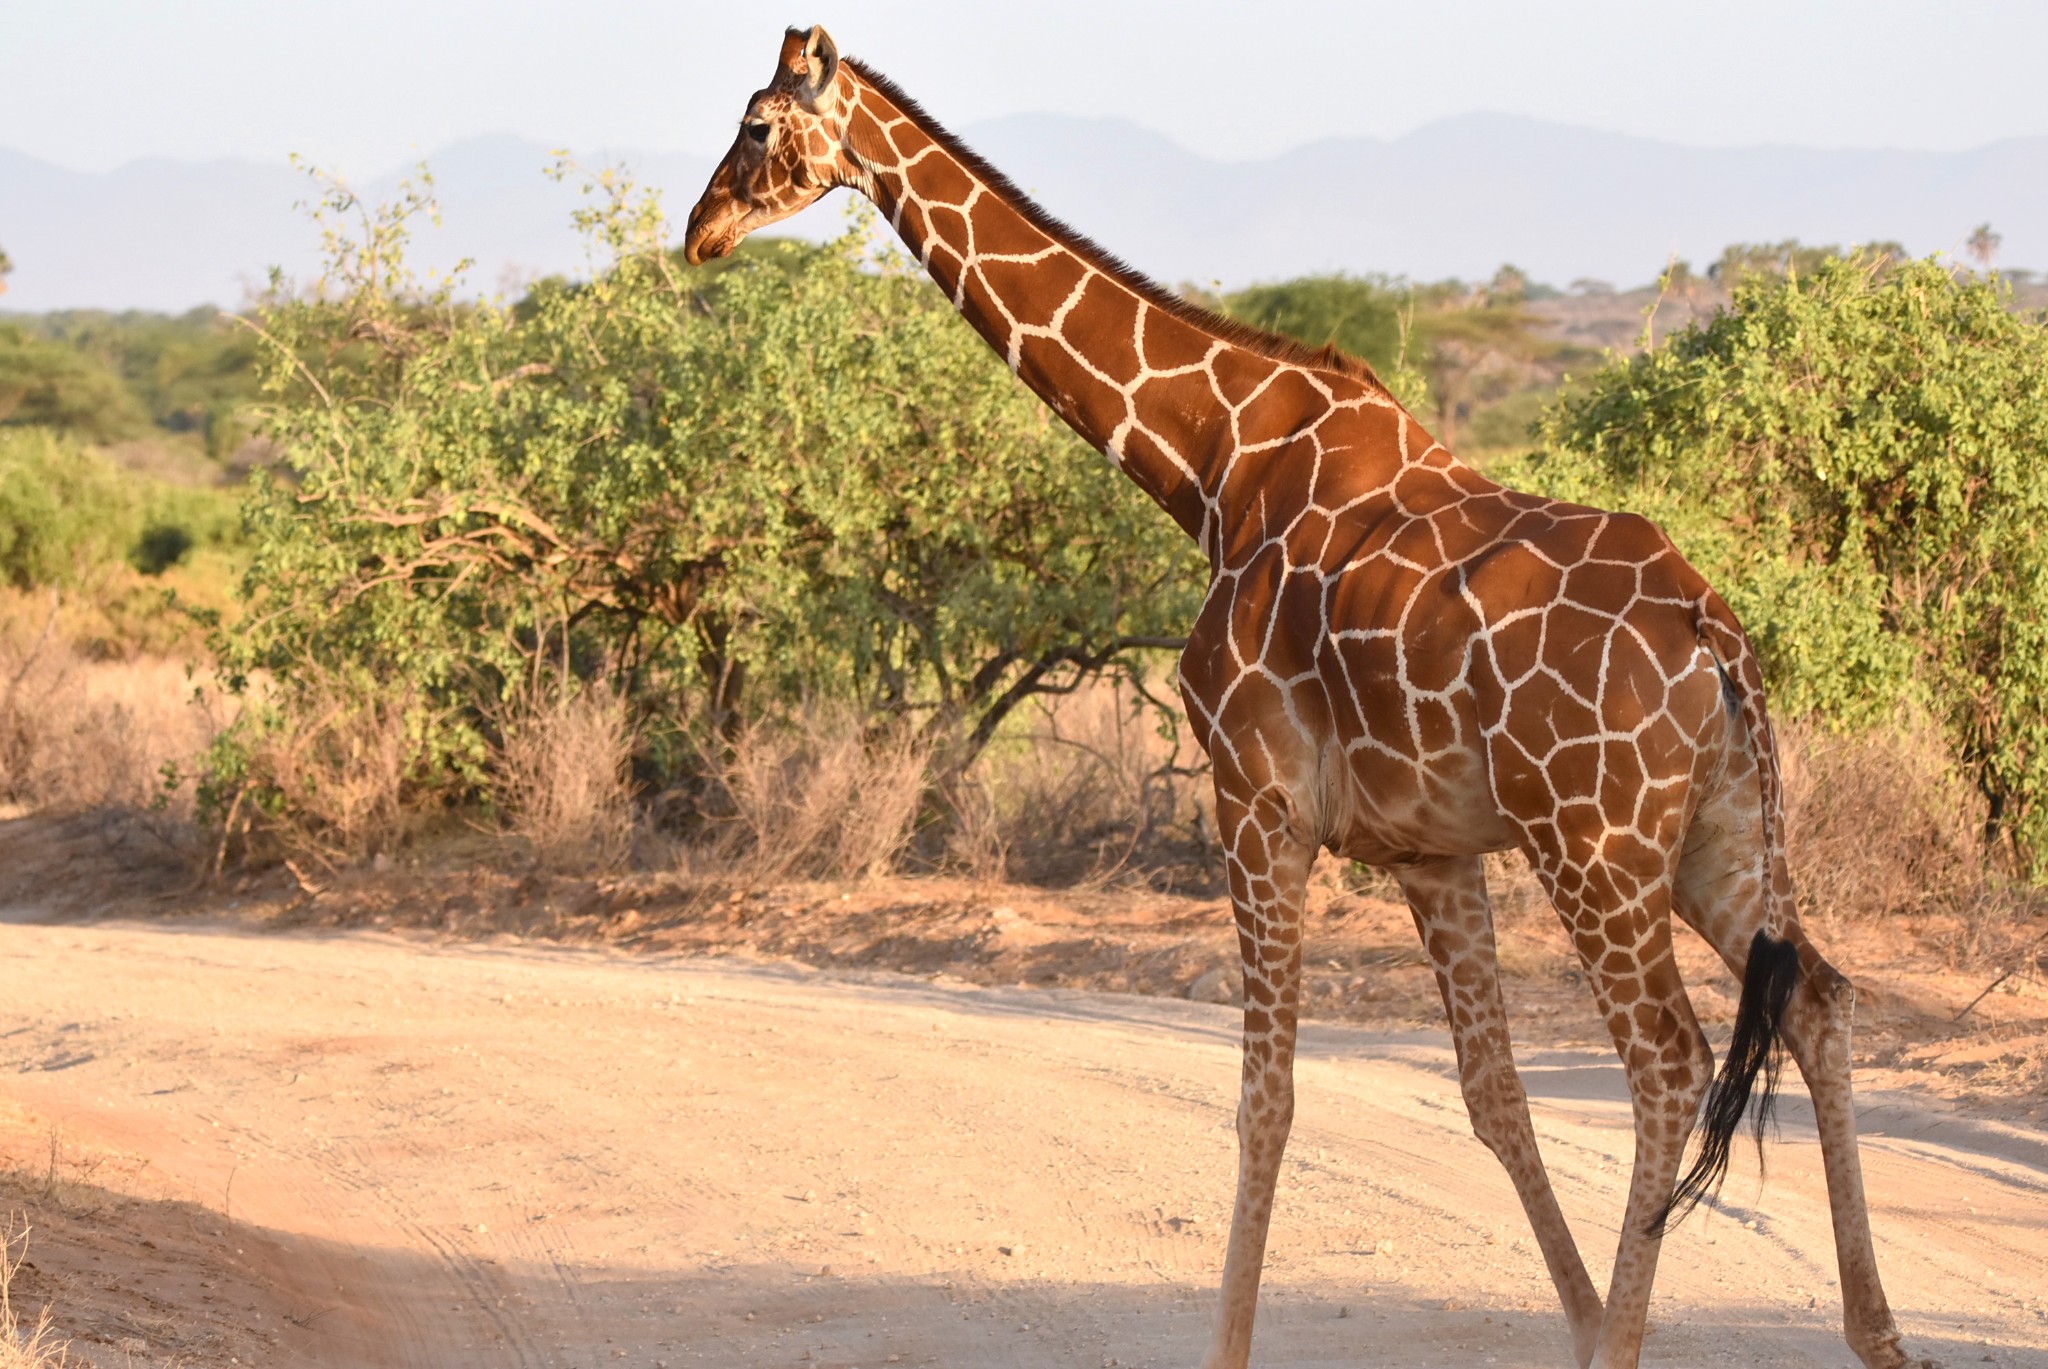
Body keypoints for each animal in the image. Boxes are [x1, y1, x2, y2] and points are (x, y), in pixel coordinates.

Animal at [688, 24, 1933, 1369]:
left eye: (756, 126)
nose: (699, 231)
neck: (1210, 462)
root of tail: (1712, 631)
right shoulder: (1432, 850)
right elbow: (1489, 1097)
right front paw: (1578, 1310)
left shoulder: (1254, 801)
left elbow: (1264, 1103)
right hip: (1719, 831)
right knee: (1816, 1000)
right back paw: (1875, 1335)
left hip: (1592, 842)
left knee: (1665, 1056)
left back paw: (1640, 1346)